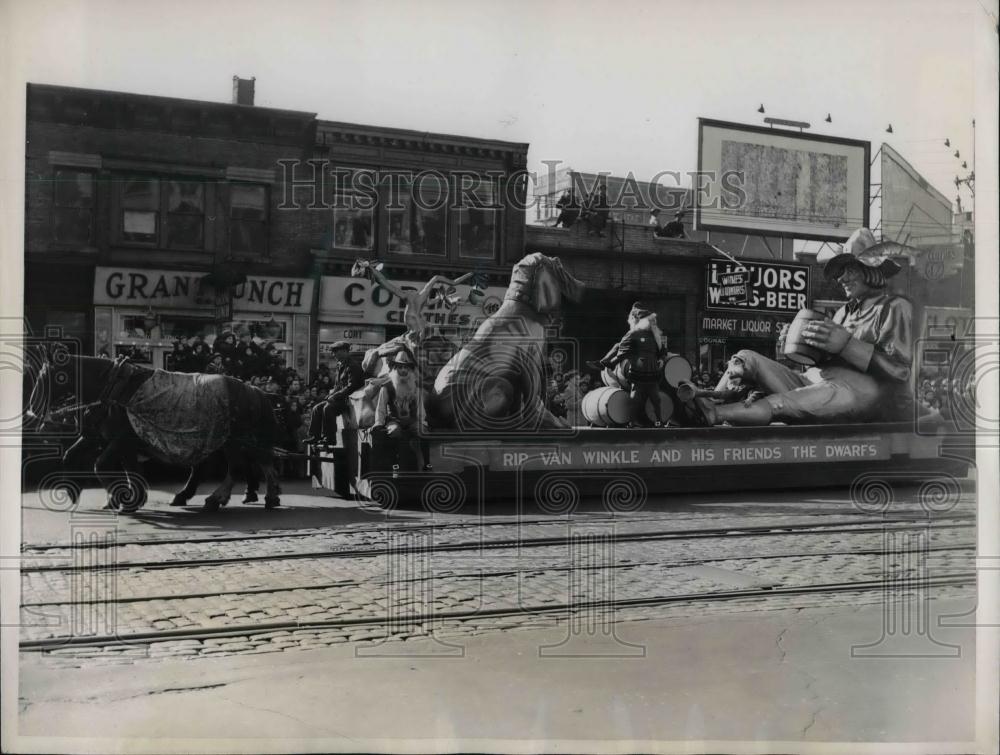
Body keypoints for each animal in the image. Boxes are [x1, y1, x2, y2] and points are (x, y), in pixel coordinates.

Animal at [26, 354, 282, 512]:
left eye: (45, 377)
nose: (32, 413)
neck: (112, 388)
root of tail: (253, 389)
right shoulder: (97, 437)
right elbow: (72, 456)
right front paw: (76, 491)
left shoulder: (121, 440)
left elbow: (102, 465)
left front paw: (124, 499)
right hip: (212, 438)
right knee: (225, 465)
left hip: (234, 439)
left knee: (244, 465)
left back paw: (229, 498)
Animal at [432, 255, 584, 428]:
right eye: (559, 264)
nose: (583, 286)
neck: (524, 305)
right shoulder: (530, 360)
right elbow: (532, 395)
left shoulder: (516, 370)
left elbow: (520, 401)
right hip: (496, 385)